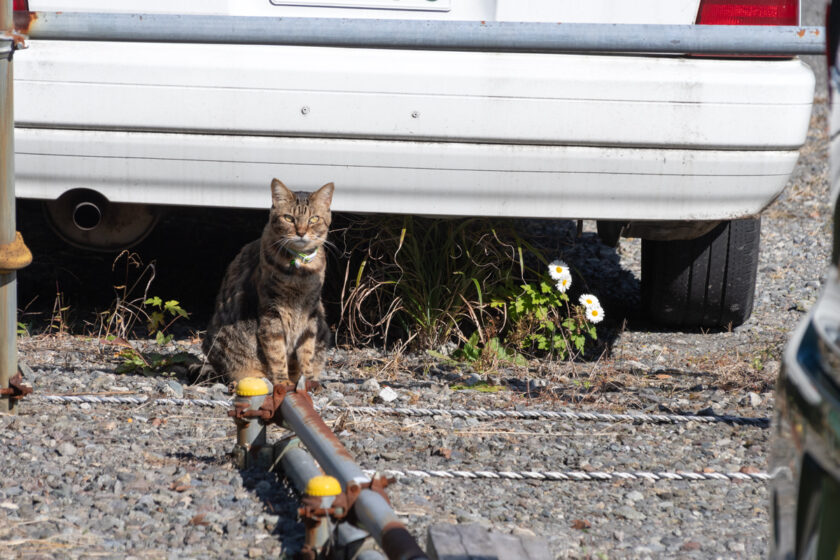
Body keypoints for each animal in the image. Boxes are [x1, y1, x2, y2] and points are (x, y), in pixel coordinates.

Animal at [202, 179, 334, 384]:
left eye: (314, 219)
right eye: (289, 218)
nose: (301, 232)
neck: (300, 272)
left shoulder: (310, 310)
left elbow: (306, 350)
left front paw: (308, 380)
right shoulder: (271, 310)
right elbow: (276, 350)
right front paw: (283, 382)